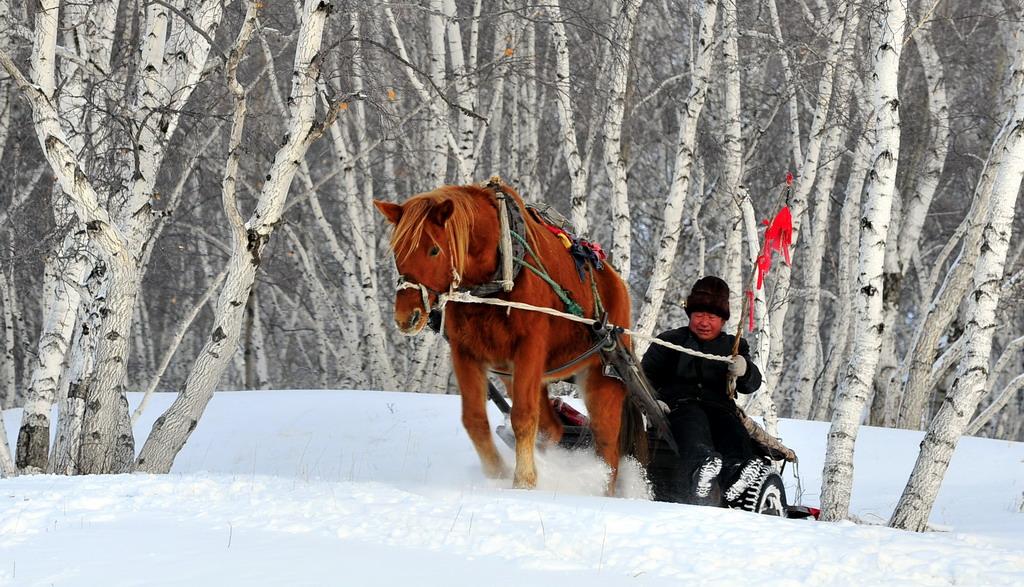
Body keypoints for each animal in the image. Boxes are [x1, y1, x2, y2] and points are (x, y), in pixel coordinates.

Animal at [372, 181, 634, 491]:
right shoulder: (466, 352)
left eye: (434, 250)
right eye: (398, 251)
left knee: (607, 448)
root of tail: (615, 282)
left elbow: (522, 416)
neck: (497, 278)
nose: (406, 317)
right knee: (553, 428)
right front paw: (496, 473)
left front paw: (524, 481)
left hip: (603, 375)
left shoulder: (529, 347)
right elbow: (474, 419)